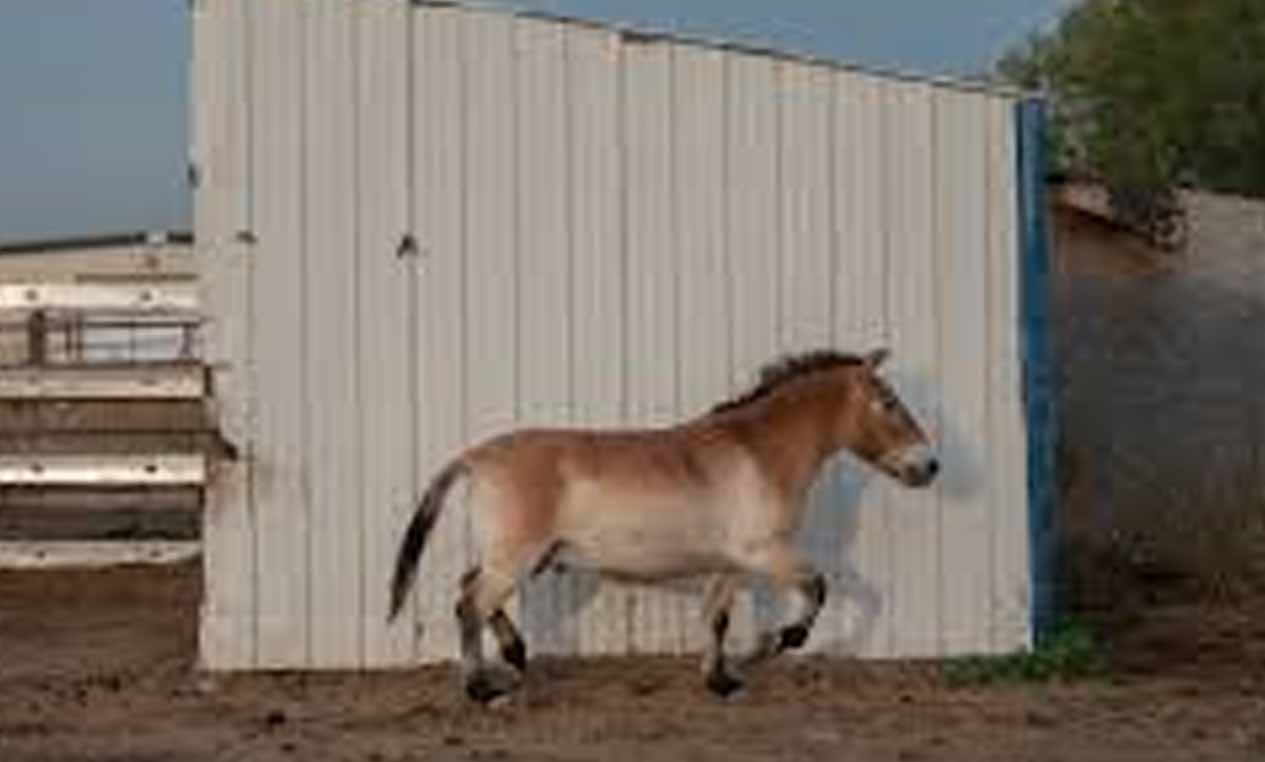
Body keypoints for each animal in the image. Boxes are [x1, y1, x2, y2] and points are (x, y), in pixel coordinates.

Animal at [387, 347, 939, 702]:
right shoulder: (764, 552)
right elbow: (819, 588)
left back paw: (516, 654)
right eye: (889, 403)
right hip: (514, 557)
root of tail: (476, 456)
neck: (758, 452)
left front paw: (721, 682)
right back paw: (482, 691)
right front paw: (775, 644)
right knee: (469, 604)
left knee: (472, 592)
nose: (930, 466)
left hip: (520, 556)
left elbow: (716, 618)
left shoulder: (731, 563)